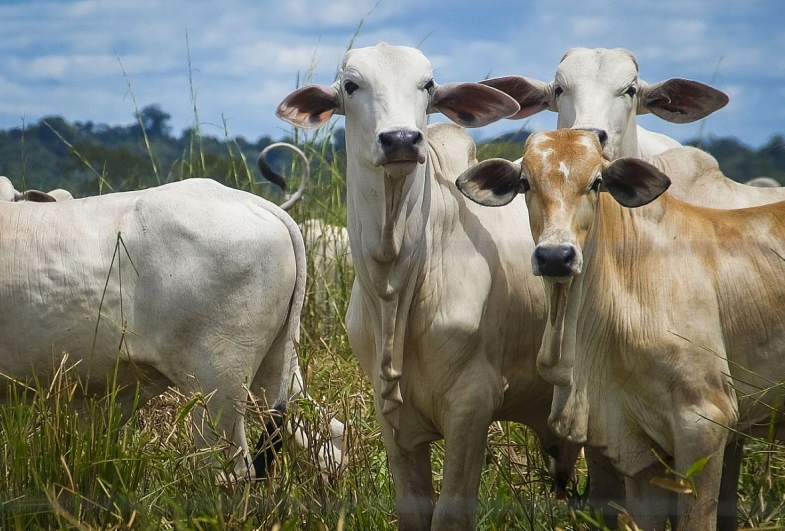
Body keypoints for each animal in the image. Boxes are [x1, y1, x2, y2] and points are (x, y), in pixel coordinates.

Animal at [272, 43, 580, 528]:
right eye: (351, 85)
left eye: (428, 85)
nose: (401, 139)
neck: (397, 285)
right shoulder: (390, 414)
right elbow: (413, 507)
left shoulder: (473, 406)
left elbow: (452, 511)